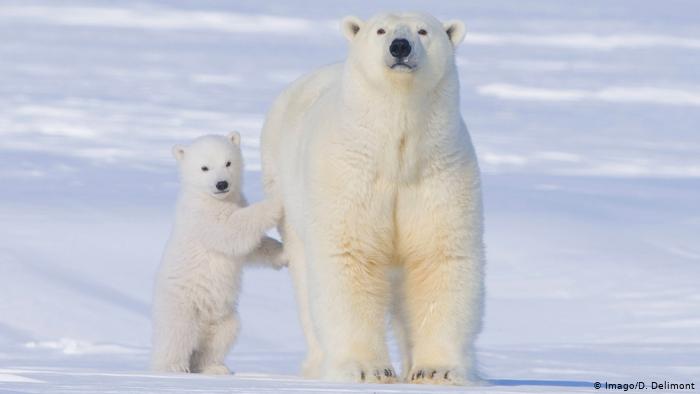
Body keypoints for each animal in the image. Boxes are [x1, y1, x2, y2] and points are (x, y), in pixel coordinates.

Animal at [260, 13, 484, 384]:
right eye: (381, 30)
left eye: (423, 30)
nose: (400, 46)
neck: (395, 152)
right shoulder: (349, 174)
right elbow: (349, 256)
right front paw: (368, 369)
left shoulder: (439, 173)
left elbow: (438, 256)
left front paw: (435, 370)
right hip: (285, 191)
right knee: (306, 281)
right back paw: (317, 364)